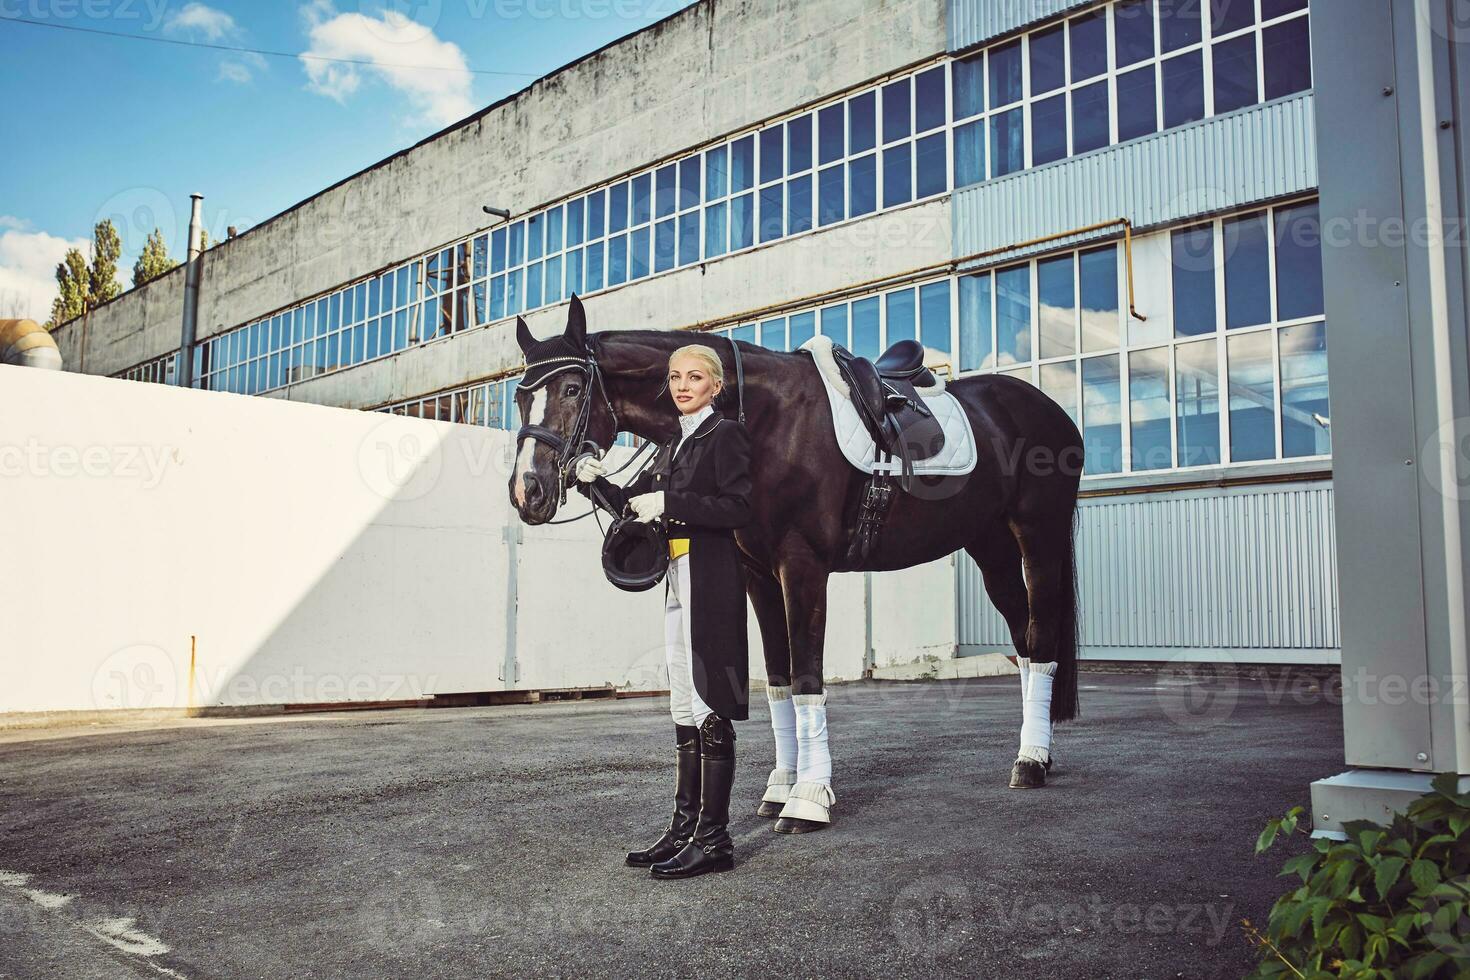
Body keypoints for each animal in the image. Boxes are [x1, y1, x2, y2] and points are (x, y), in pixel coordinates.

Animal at [511, 295, 1087, 811]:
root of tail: (1048, 410)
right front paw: (780, 788)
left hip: (1038, 536)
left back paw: (1030, 762)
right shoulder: (758, 574)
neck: (765, 419)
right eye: (518, 397)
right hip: (989, 546)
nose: (527, 491)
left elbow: (808, 677)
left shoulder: (803, 566)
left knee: (1041, 638)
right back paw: (1036, 753)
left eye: (571, 388)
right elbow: (779, 682)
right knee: (1025, 640)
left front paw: (809, 799)